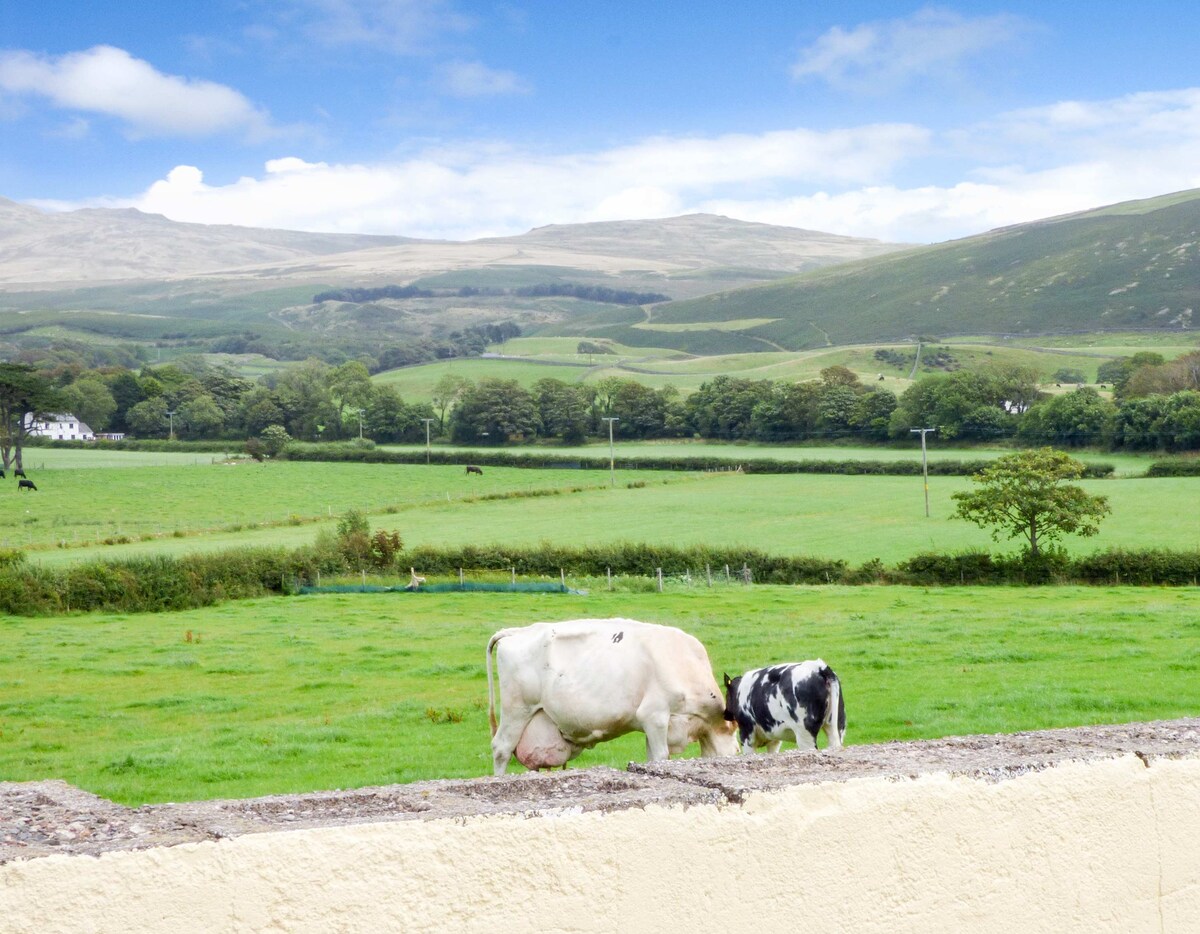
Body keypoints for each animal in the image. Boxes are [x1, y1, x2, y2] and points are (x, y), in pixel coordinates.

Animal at [484, 619, 729, 773]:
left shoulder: (653, 725)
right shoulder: (655, 714)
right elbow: (661, 756)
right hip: (517, 710)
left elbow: (652, 757)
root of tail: (516, 631)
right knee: (501, 749)